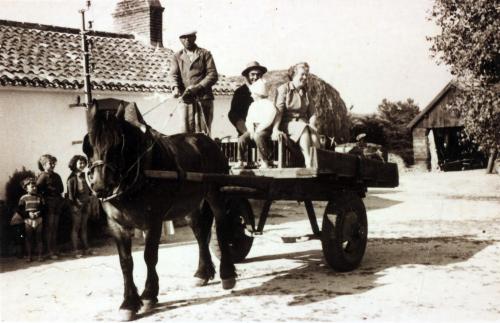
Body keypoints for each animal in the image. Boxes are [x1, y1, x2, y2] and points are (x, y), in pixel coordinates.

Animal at [81, 99, 236, 322]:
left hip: (216, 194)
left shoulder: (153, 221)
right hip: (191, 206)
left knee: (222, 228)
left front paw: (149, 295)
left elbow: (149, 257)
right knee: (200, 234)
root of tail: (207, 139)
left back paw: (227, 273)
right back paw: (202, 272)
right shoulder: (117, 225)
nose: (101, 186)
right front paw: (129, 302)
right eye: (88, 146)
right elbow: (125, 262)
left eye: (118, 145)